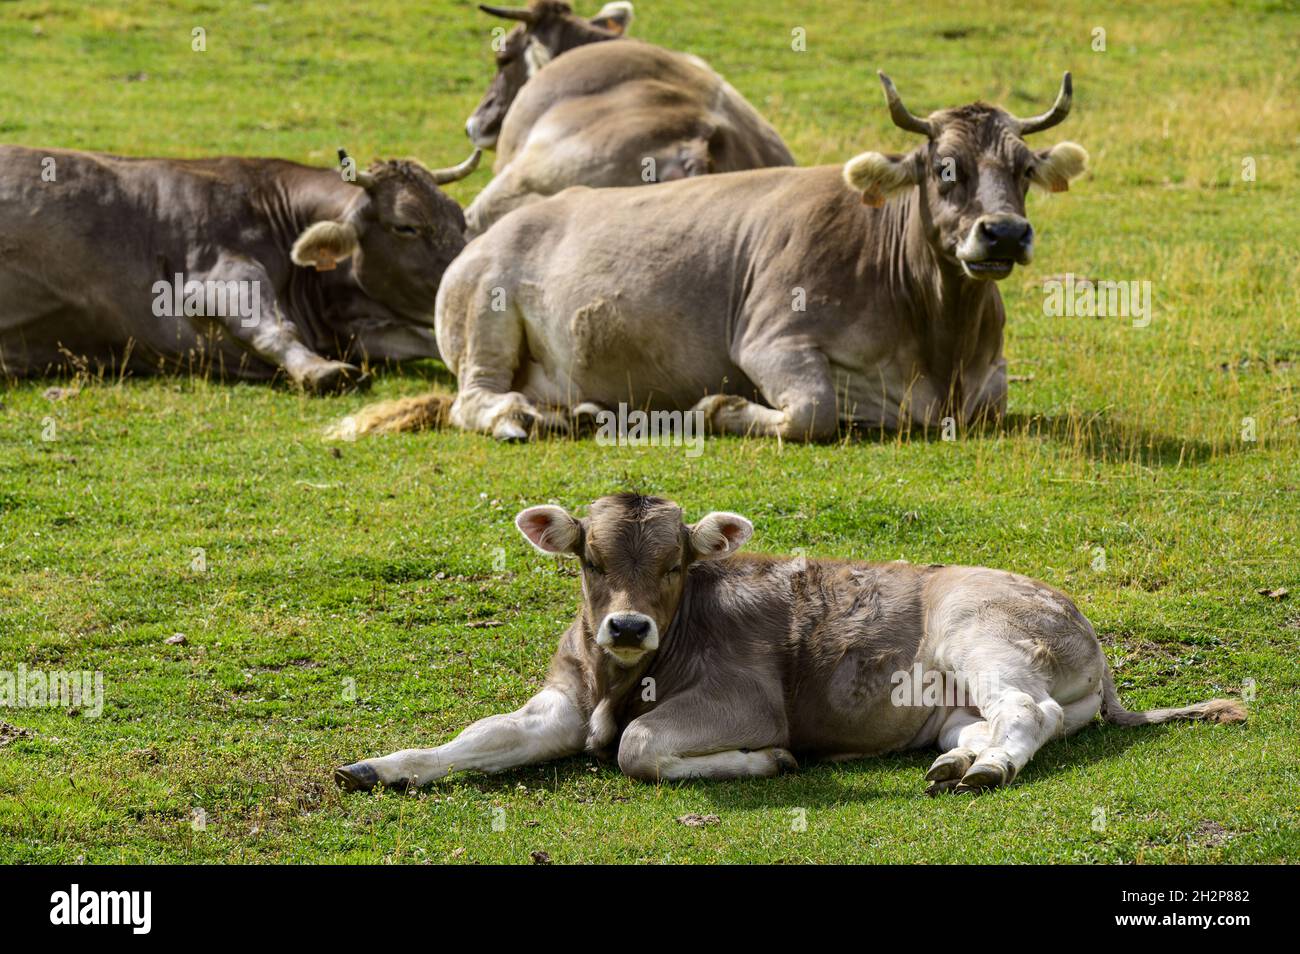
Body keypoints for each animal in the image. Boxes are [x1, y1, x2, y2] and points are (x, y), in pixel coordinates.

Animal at [0, 145, 480, 392]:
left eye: (460, 219)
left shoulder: (350, 329)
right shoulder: (215, 275)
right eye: (406, 226)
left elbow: (420, 338)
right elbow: (272, 328)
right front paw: (320, 371)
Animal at [334, 494, 1246, 792]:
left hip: (983, 633)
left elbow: (637, 745)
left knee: (1028, 713)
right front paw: (377, 766)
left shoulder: (743, 699)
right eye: (589, 558)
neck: (624, 675)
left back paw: (984, 772)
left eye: (676, 564)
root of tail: (1078, 614)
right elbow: (479, 739)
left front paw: (765, 762)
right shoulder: (561, 702)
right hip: (951, 701)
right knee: (1011, 721)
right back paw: (959, 760)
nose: (626, 625)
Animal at [336, 72, 1088, 439]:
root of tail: (482, 235)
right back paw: (520, 421)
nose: (1003, 234)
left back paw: (575, 414)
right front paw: (719, 410)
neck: (936, 343)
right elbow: (813, 412)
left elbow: (991, 403)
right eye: (945, 168)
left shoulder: (988, 380)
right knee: (473, 401)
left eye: (1023, 168)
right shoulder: (769, 338)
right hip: (483, 324)